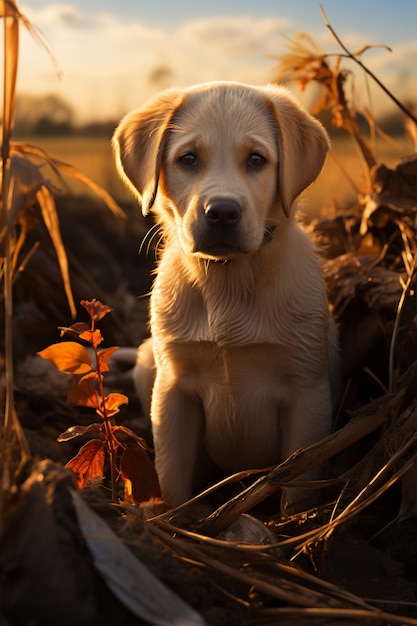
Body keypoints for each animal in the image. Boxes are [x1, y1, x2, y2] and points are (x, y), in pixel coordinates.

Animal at [113, 79, 338, 508]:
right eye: (188, 159)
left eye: (256, 160)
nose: (221, 212)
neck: (228, 279)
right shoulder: (173, 390)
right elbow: (172, 479)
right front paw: (168, 518)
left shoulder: (308, 392)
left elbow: (297, 488)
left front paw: (295, 520)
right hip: (149, 359)